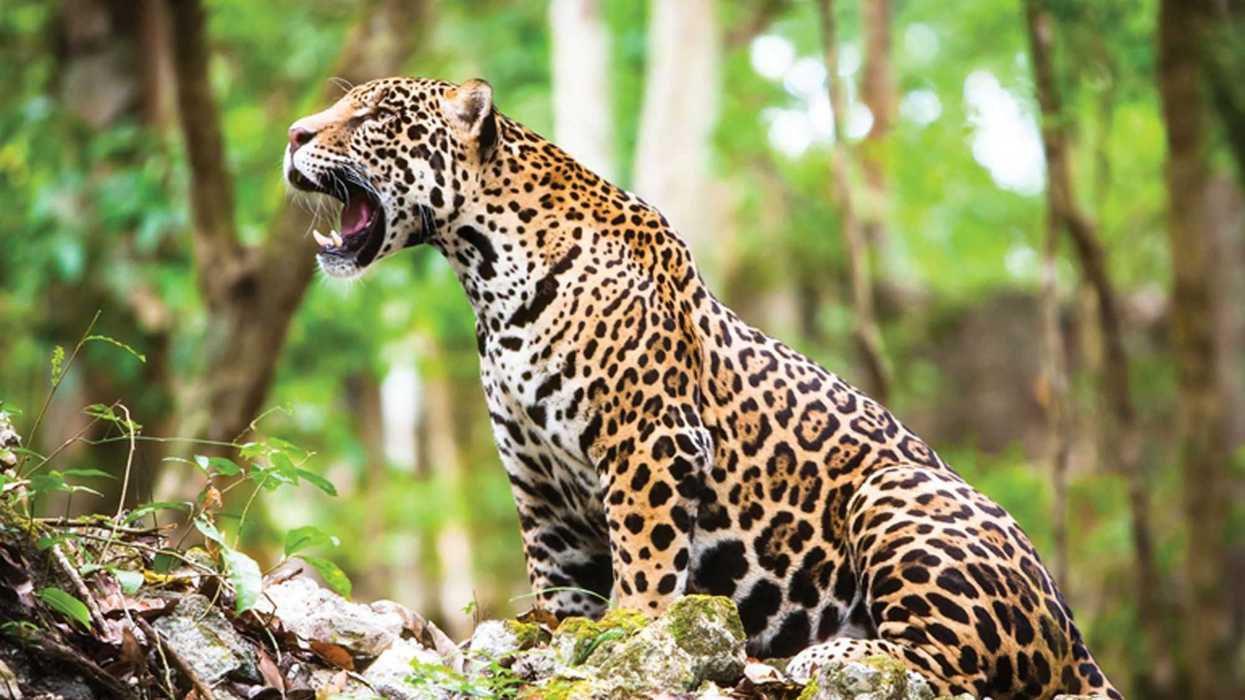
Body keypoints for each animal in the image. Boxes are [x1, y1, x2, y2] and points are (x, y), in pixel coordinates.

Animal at [283, 77, 1121, 699]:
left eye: (371, 115)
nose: (292, 134)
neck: (484, 271)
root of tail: (1075, 638)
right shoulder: (539, 486)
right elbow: (558, 586)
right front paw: (555, 641)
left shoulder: (648, 444)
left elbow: (644, 569)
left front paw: (627, 639)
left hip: (899, 494)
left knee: (953, 673)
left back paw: (823, 658)